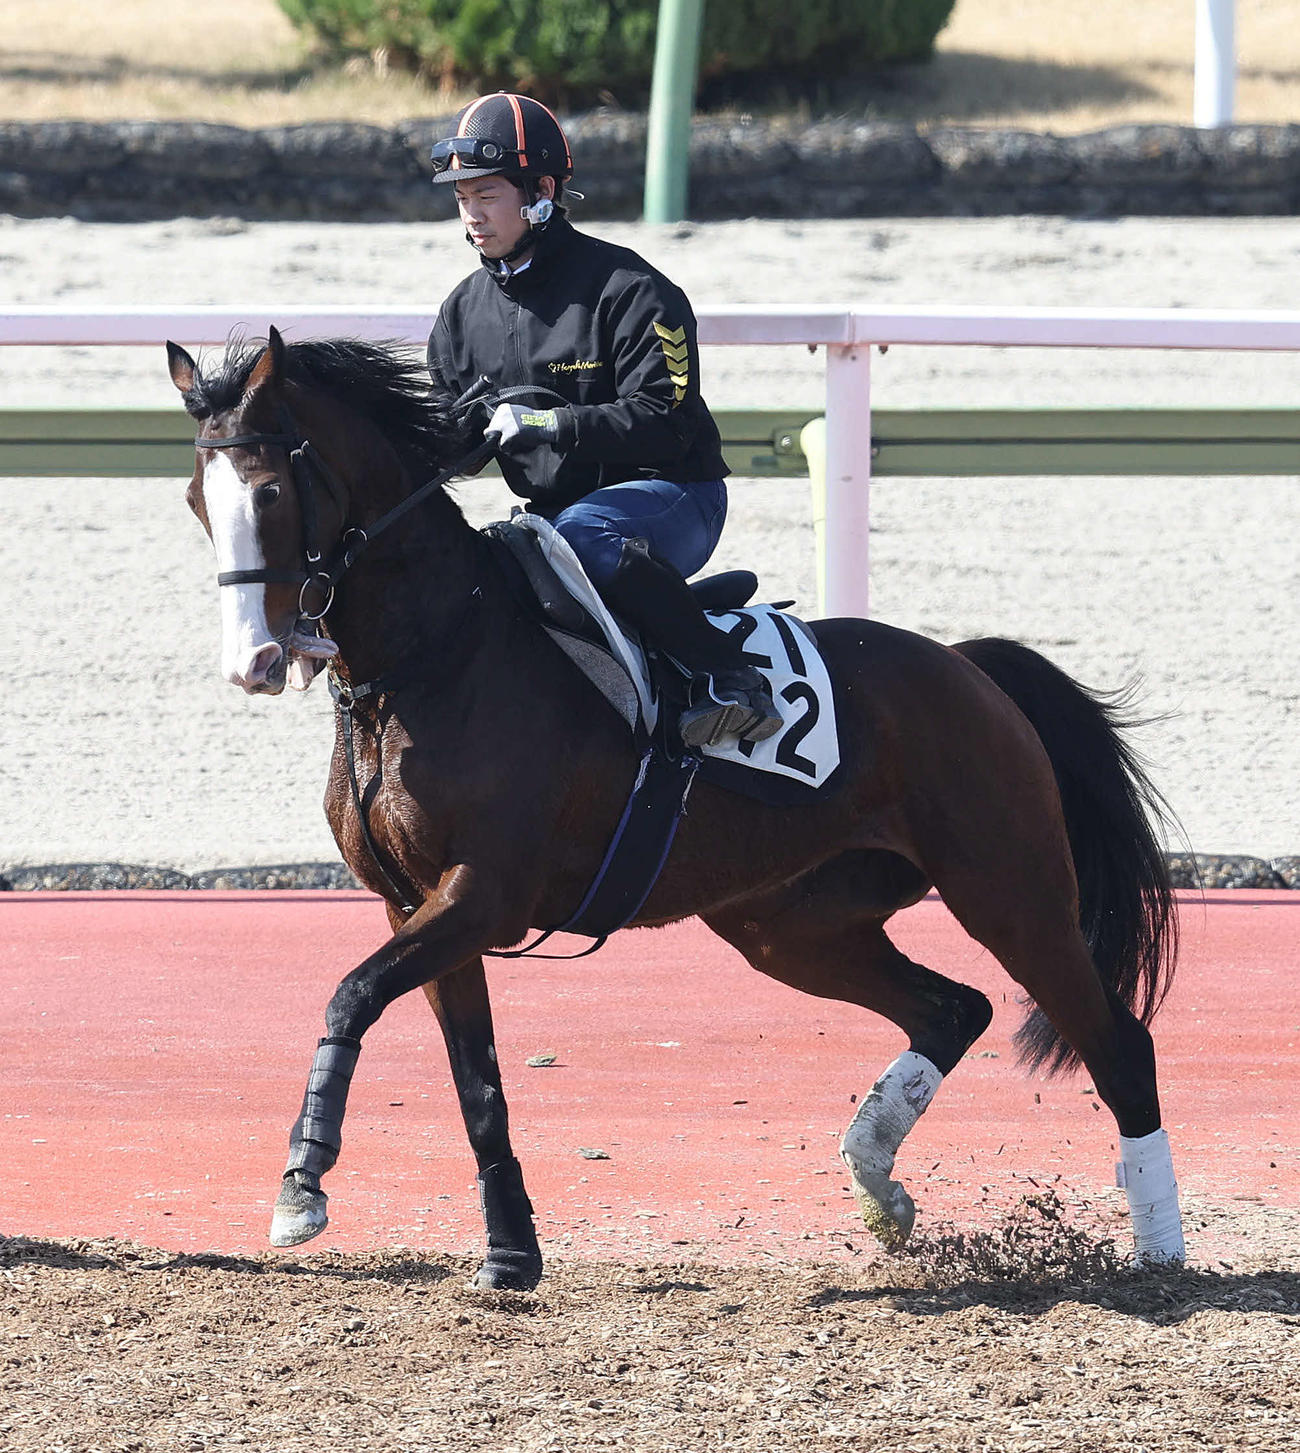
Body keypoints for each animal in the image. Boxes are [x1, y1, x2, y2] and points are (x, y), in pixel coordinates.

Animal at [166, 328, 1186, 1289]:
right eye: (195, 500)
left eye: (268, 493)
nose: (254, 660)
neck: (436, 654)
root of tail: (969, 667)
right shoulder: (416, 904)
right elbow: (475, 1081)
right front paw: (510, 1248)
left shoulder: (482, 895)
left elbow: (350, 994)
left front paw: (302, 1183)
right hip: (788, 924)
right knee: (954, 1008)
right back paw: (877, 1180)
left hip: (1010, 891)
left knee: (1119, 1045)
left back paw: (1160, 1251)